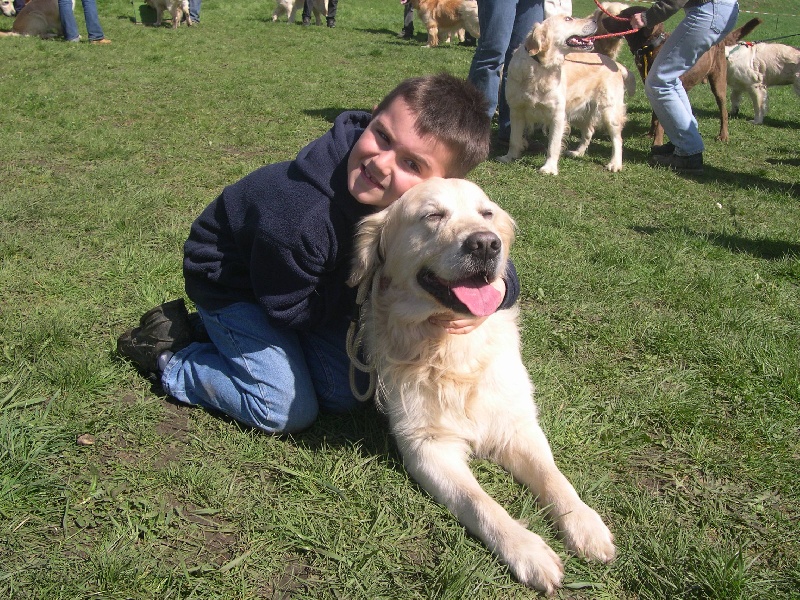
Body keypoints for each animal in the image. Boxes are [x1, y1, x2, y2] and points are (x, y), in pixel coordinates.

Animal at [347, 178, 616, 594]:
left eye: (486, 213)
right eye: (432, 215)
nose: (487, 244)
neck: (451, 349)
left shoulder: (517, 424)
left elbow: (554, 477)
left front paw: (585, 525)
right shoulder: (426, 446)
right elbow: (480, 502)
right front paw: (529, 551)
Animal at [499, 14, 636, 175]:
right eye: (568, 19)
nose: (595, 20)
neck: (541, 66)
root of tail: (615, 64)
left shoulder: (557, 115)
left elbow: (553, 145)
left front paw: (549, 168)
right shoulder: (516, 110)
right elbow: (514, 139)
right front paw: (510, 157)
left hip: (610, 111)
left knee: (617, 139)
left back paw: (615, 164)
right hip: (579, 111)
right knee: (589, 131)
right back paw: (578, 152)